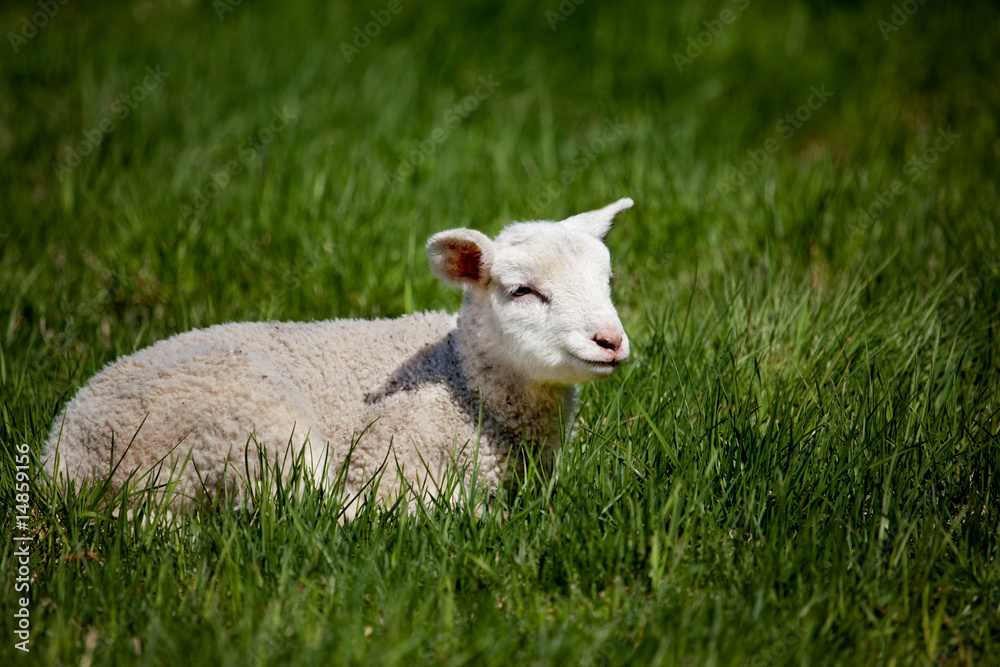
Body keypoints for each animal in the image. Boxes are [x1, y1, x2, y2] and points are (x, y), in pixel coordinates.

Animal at [43, 198, 634, 515]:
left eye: (607, 281)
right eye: (522, 291)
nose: (611, 341)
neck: (462, 382)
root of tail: (63, 457)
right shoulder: (399, 462)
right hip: (245, 428)